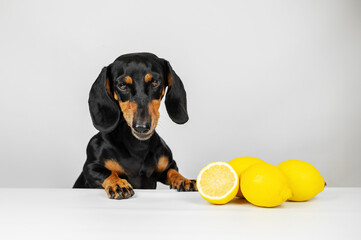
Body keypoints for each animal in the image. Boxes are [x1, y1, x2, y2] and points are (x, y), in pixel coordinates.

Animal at [73, 53, 197, 200]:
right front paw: (118, 184)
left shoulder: (169, 165)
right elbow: (107, 173)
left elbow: (173, 172)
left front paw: (184, 180)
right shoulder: (90, 167)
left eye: (155, 82)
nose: (141, 127)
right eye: (122, 85)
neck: (137, 147)